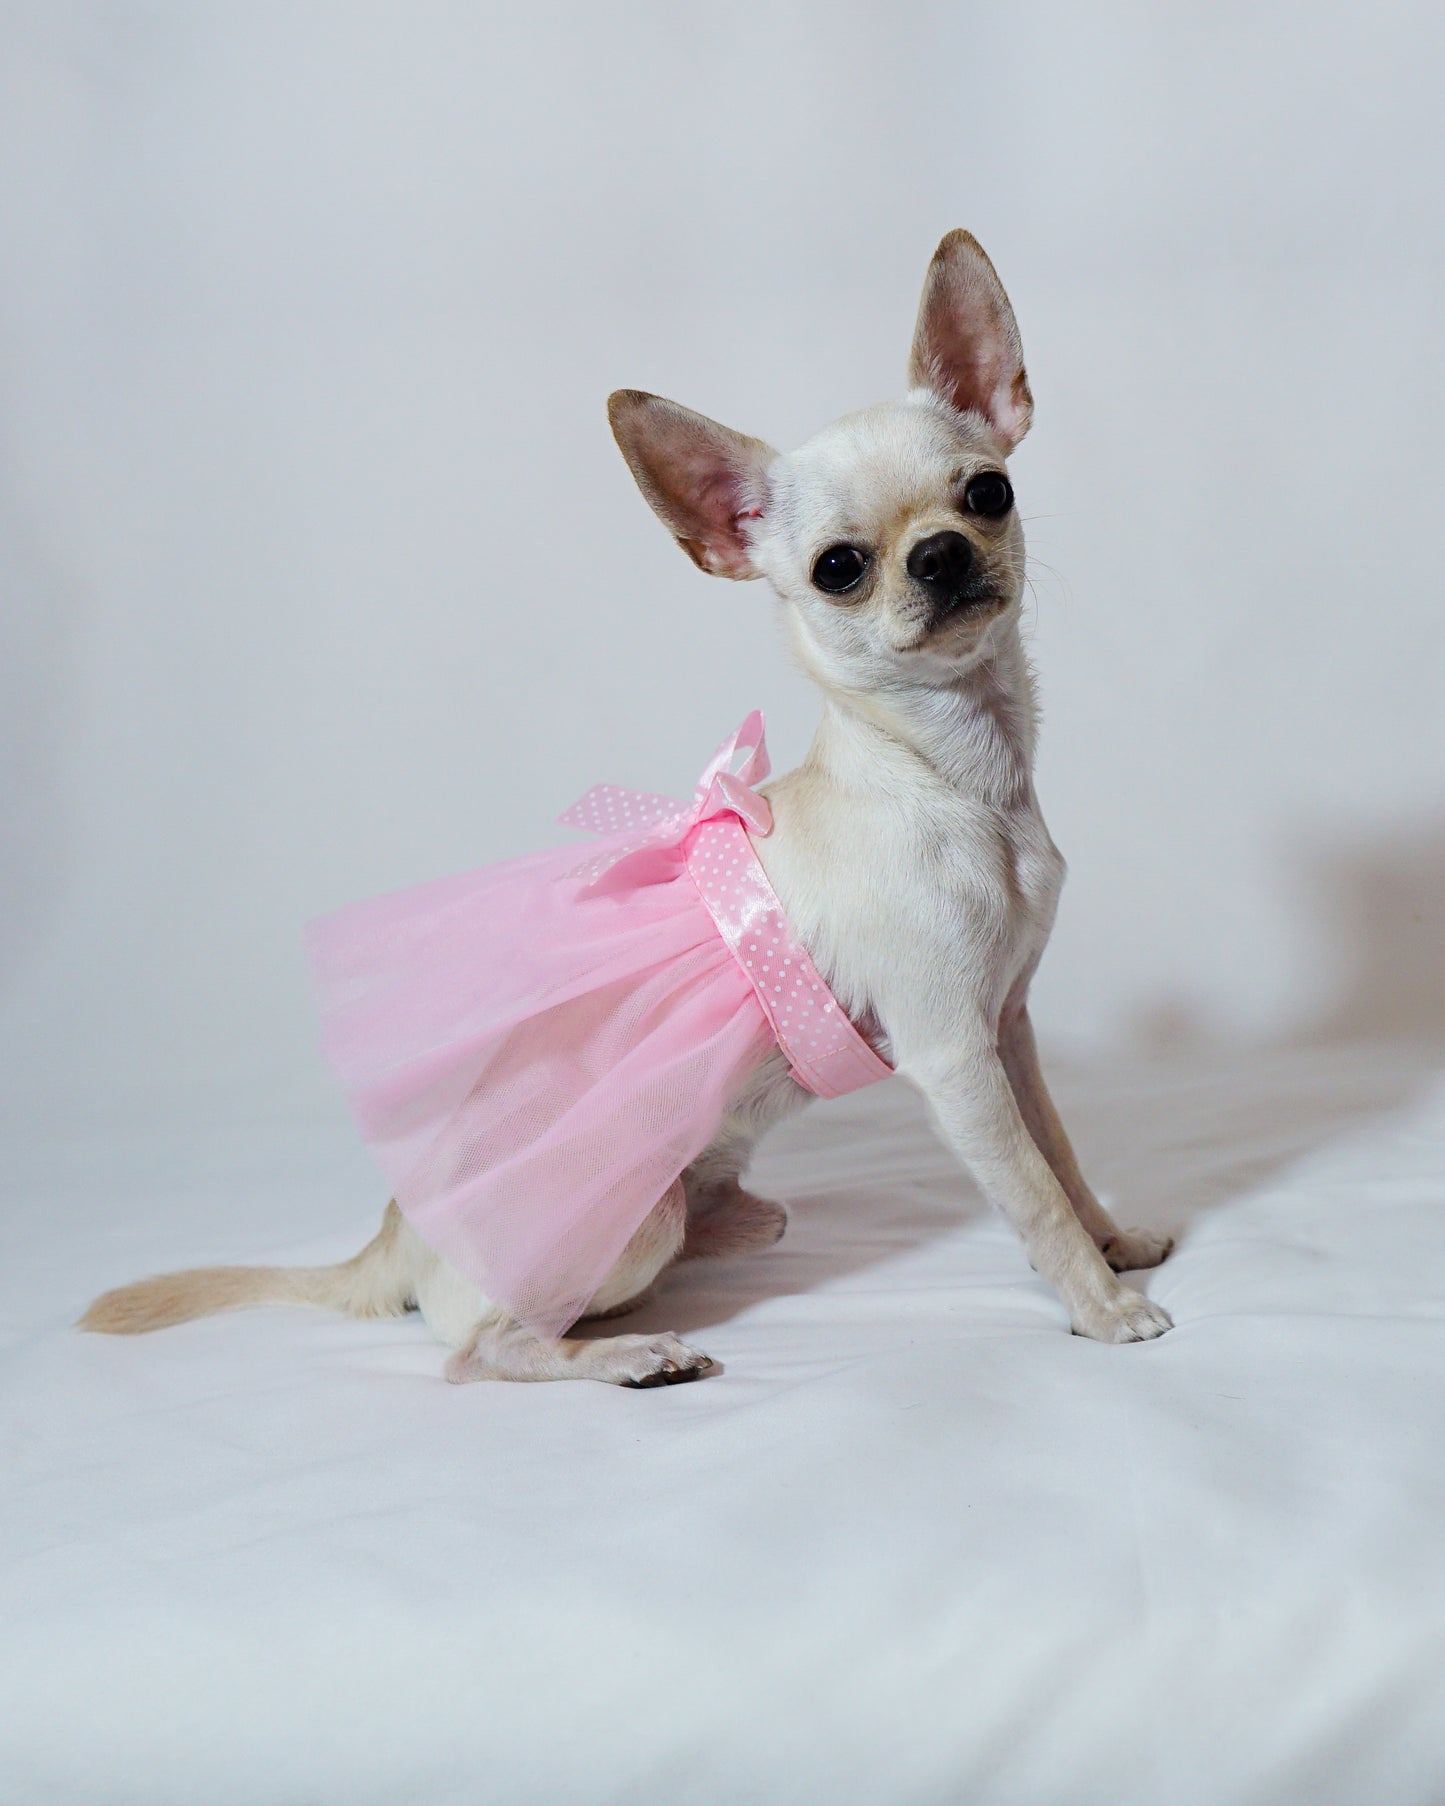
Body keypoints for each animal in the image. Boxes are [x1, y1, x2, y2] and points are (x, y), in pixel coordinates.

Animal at [81, 229, 1170, 1379]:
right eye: (838, 568)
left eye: (986, 494)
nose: (940, 552)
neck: (953, 778)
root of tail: (394, 1232)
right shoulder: (955, 1058)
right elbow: (1030, 1196)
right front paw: (1103, 1306)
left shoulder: (1007, 1028)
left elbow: (1058, 1154)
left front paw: (1113, 1242)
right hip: (623, 1229)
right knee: (479, 1348)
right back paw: (627, 1355)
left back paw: (732, 1226)